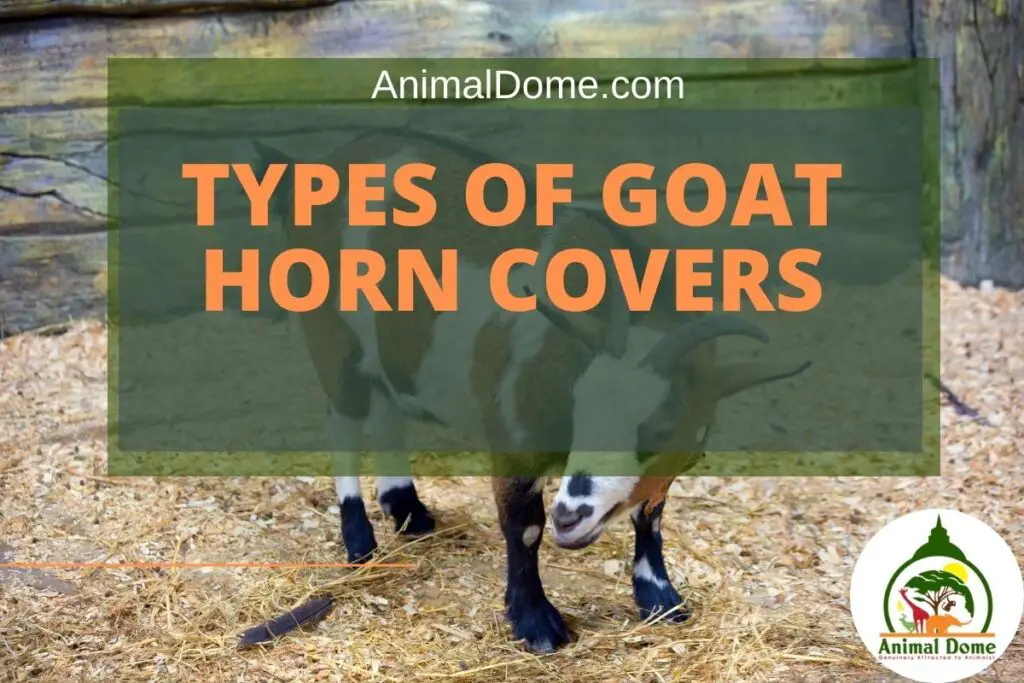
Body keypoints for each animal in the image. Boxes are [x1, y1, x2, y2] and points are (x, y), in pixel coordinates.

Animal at [251, 127, 811, 652]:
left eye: (661, 429)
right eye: (577, 411)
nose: (572, 514)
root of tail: (309, 167)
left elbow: (651, 514)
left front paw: (660, 598)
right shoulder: (512, 429)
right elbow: (524, 527)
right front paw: (537, 623)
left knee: (389, 409)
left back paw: (409, 512)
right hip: (331, 332)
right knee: (343, 419)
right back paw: (359, 541)